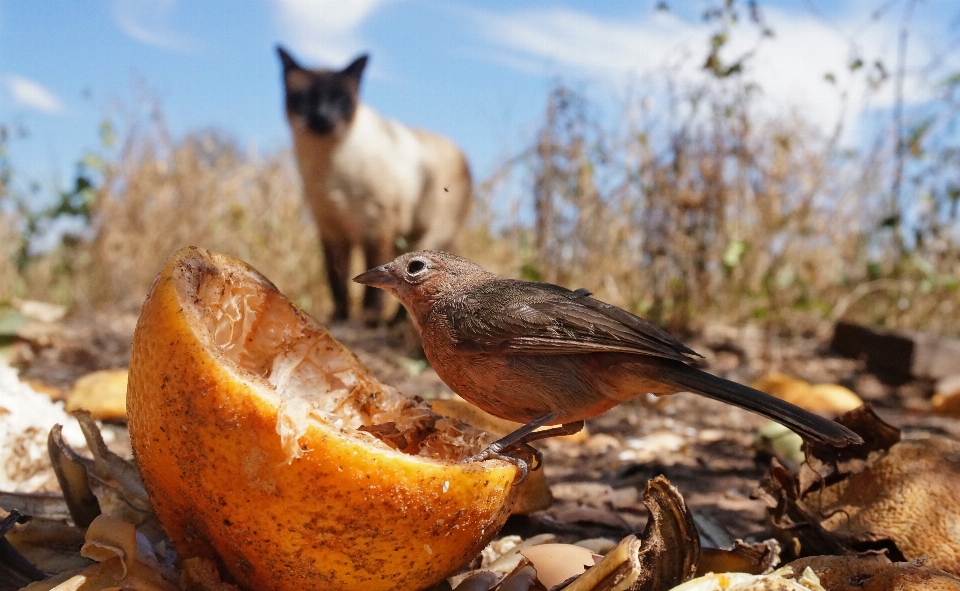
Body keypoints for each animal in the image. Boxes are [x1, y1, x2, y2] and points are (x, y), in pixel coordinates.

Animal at [278, 46, 472, 326]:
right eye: (304, 99)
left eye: (340, 100)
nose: (323, 117)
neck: (328, 162)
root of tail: (462, 154)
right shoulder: (332, 230)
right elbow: (337, 279)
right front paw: (340, 317)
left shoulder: (377, 227)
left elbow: (372, 286)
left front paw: (369, 319)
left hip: (428, 232)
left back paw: (395, 323)